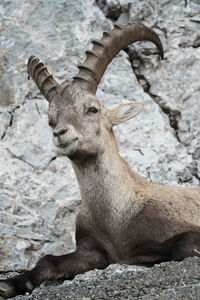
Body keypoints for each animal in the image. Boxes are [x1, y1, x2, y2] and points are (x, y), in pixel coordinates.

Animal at [0, 22, 199, 298]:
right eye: (51, 120)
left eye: (92, 109)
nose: (60, 134)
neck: (117, 214)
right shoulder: (92, 251)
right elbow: (47, 260)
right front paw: (13, 282)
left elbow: (179, 246)